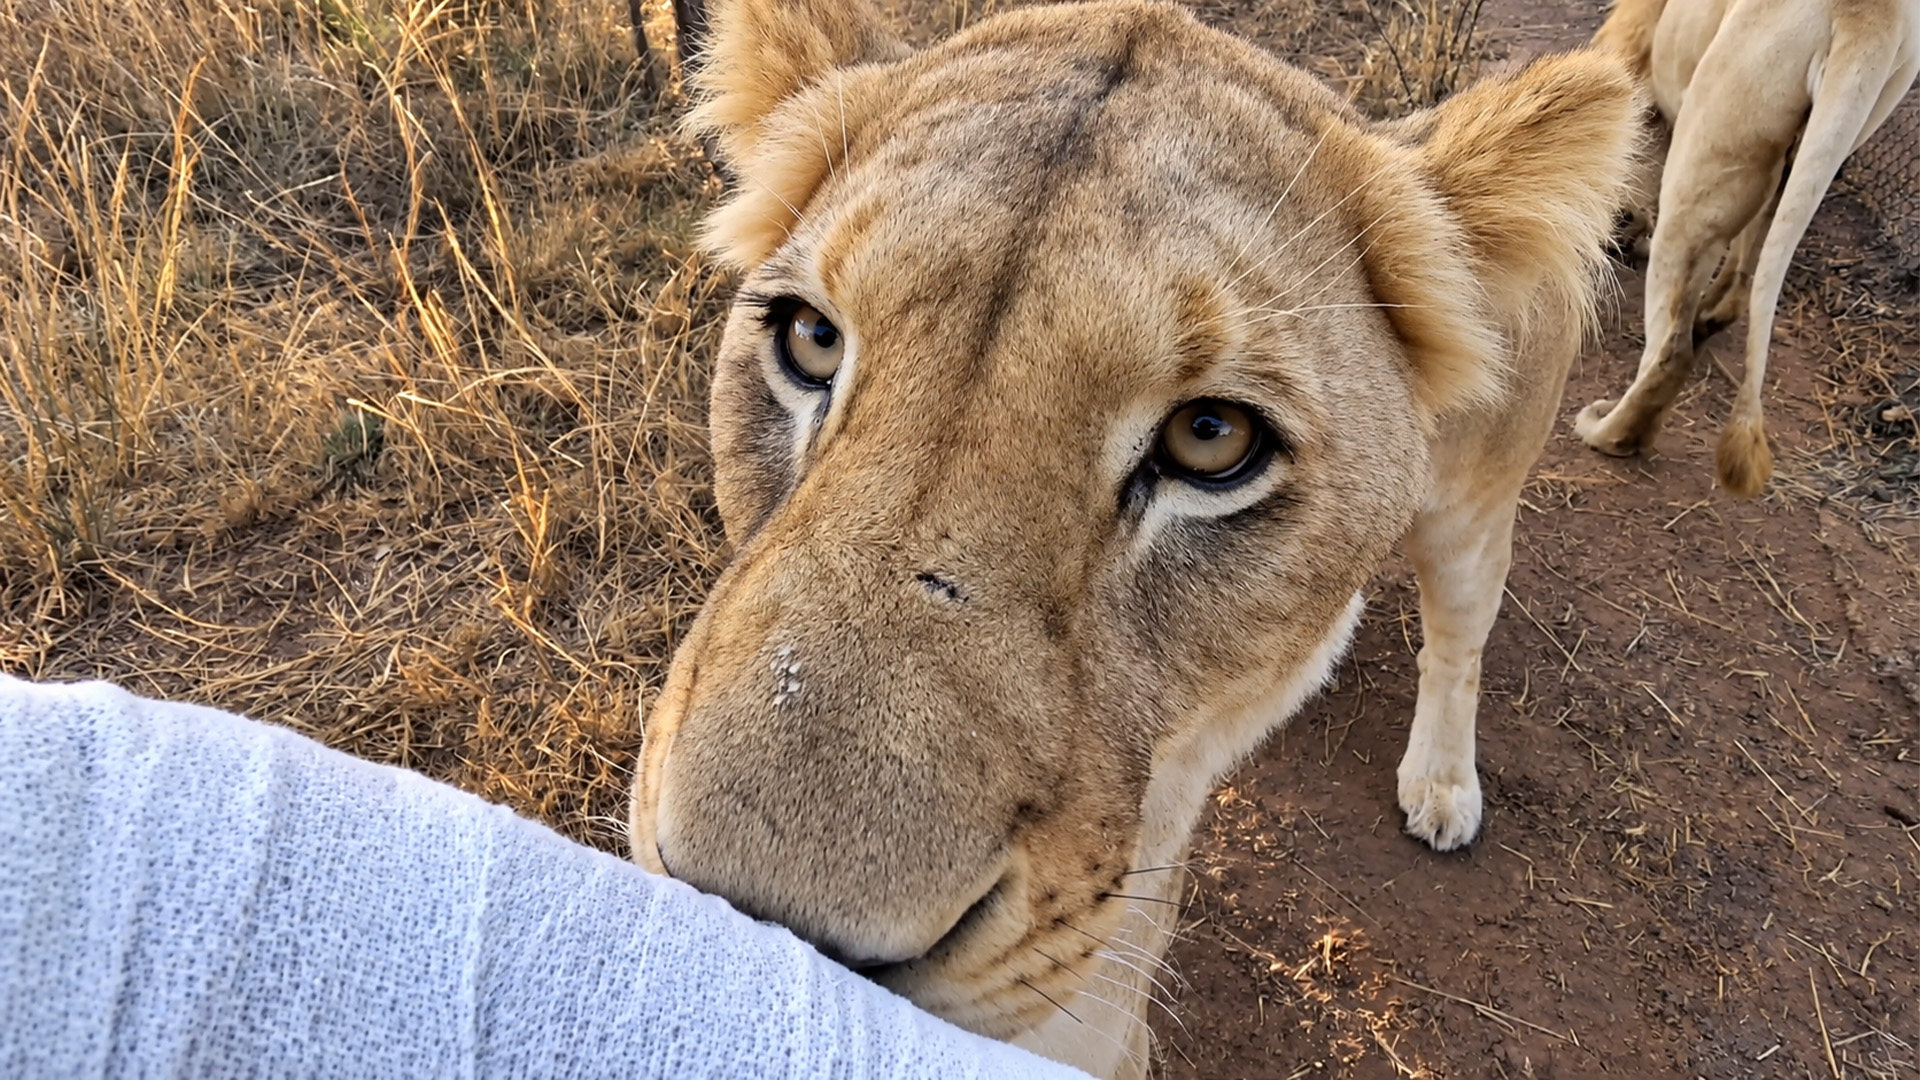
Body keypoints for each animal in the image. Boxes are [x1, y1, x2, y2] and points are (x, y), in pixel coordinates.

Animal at [624, 2, 1640, 1075]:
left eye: (1211, 437)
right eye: (811, 339)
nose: (769, 946)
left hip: (1472, 509)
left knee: (1460, 637)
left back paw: (1441, 787)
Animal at [1576, 0, 1920, 496]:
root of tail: (1874, 16)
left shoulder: (1631, 49)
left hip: (1710, 138)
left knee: (1673, 349)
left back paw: (1609, 432)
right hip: (1800, 149)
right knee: (1745, 270)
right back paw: (1710, 313)